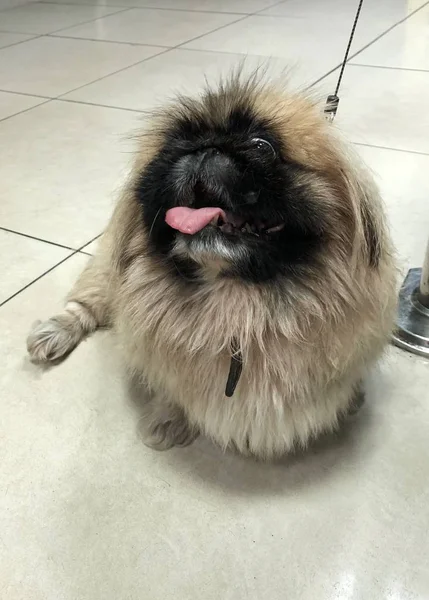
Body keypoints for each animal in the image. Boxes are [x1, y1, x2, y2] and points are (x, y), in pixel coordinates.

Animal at [25, 74, 394, 460]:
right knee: (85, 304)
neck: (237, 303)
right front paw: (170, 420)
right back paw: (53, 332)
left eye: (262, 146)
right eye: (174, 144)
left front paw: (350, 401)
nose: (203, 147)